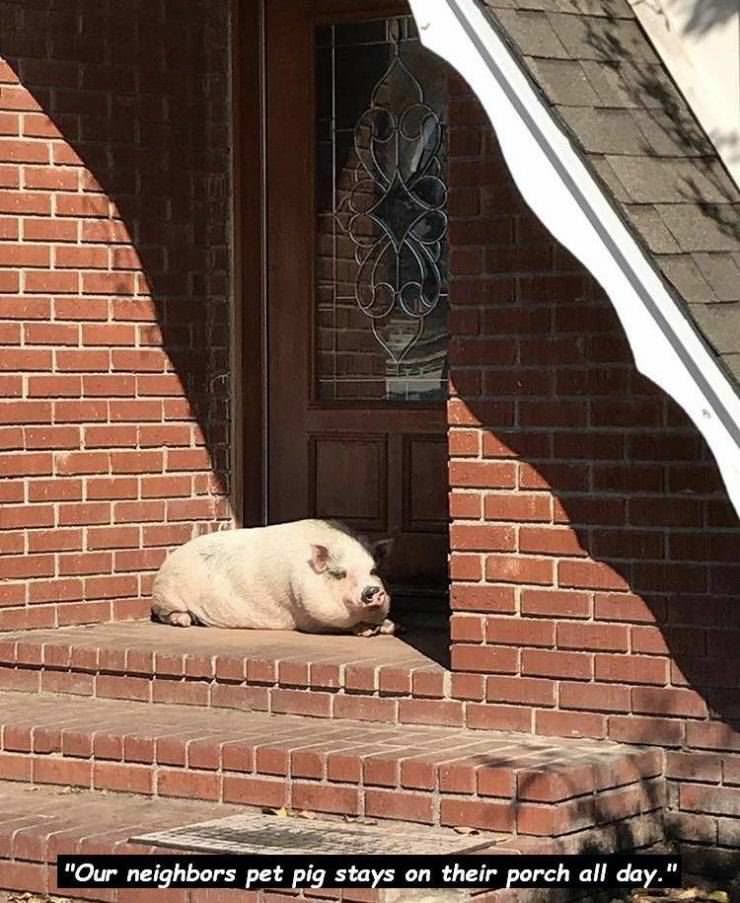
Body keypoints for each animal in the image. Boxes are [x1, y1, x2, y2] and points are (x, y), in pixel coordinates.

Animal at [150, 519, 396, 637]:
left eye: (373, 570)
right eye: (339, 574)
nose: (372, 591)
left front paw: (390, 627)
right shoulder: (306, 615)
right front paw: (367, 631)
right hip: (167, 595)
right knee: (166, 614)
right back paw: (184, 621)